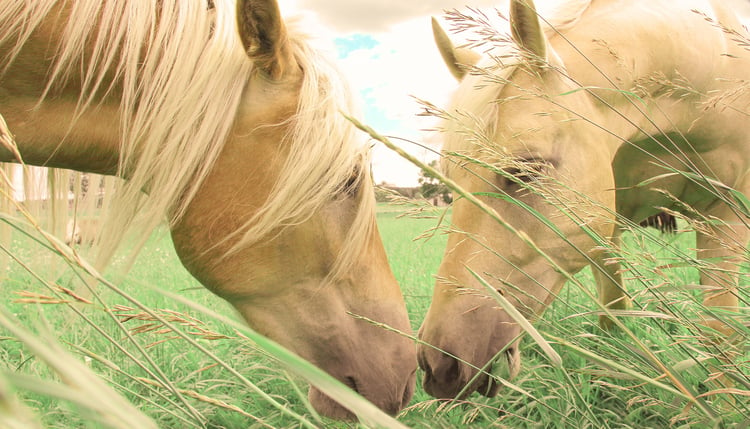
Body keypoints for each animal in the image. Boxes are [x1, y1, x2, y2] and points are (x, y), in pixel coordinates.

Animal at [420, 0, 748, 398]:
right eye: (450, 182)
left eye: (525, 170)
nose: (439, 366)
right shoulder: (605, 226)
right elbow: (613, 314)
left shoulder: (725, 215)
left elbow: (722, 332)